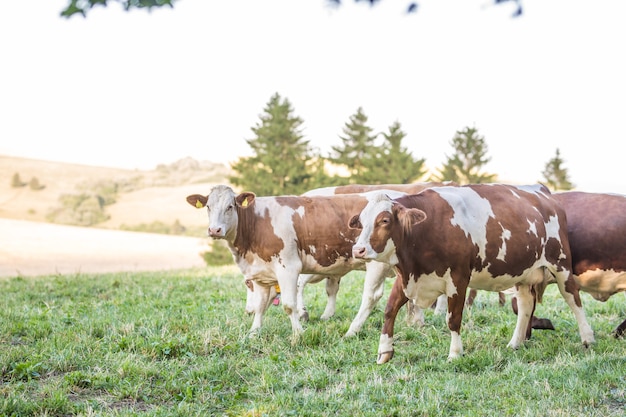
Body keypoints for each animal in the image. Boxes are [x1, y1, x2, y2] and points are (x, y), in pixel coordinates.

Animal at [185, 185, 410, 338]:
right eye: (208, 207)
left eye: (230, 206)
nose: (214, 230)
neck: (257, 224)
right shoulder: (261, 273)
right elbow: (260, 306)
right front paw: (254, 332)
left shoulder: (289, 268)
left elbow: (289, 304)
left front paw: (299, 332)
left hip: (377, 263)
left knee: (371, 297)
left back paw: (352, 330)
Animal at [348, 184, 592, 362]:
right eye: (361, 221)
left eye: (385, 220)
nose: (358, 249)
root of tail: (543, 192)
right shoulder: (408, 277)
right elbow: (389, 310)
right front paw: (384, 350)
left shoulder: (458, 279)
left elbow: (453, 319)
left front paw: (455, 353)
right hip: (523, 272)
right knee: (525, 305)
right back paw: (515, 343)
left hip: (560, 264)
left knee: (573, 298)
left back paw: (588, 338)